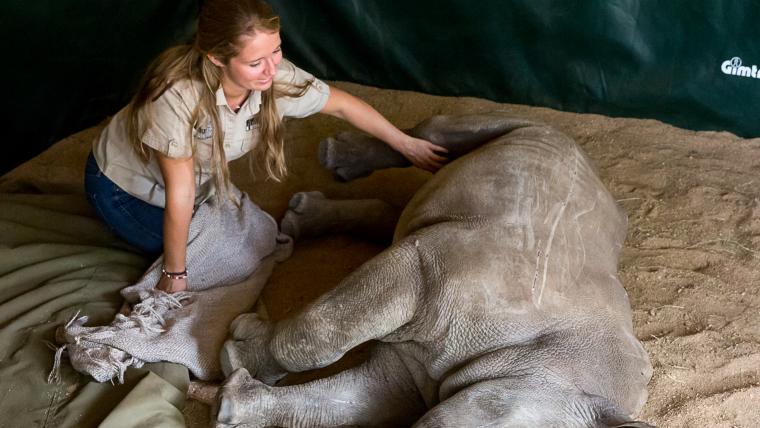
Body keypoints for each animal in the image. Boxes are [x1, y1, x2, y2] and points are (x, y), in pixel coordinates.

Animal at [215, 112, 652, 426]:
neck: (557, 372)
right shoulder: (428, 267)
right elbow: (317, 336)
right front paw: (236, 357)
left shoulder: (413, 374)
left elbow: (335, 401)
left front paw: (232, 405)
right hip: (532, 135)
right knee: (441, 133)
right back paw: (335, 158)